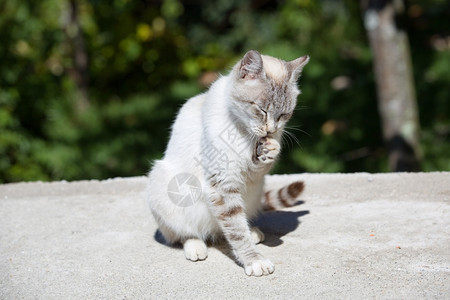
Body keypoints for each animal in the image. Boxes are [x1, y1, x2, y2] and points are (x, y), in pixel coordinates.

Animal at [148, 49, 310, 276]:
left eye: (284, 115)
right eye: (261, 110)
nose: (270, 130)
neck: (245, 134)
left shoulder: (253, 175)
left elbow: (259, 166)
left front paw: (270, 149)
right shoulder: (222, 183)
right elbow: (236, 231)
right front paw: (254, 261)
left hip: (255, 192)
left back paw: (253, 232)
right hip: (161, 180)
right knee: (183, 234)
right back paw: (196, 247)